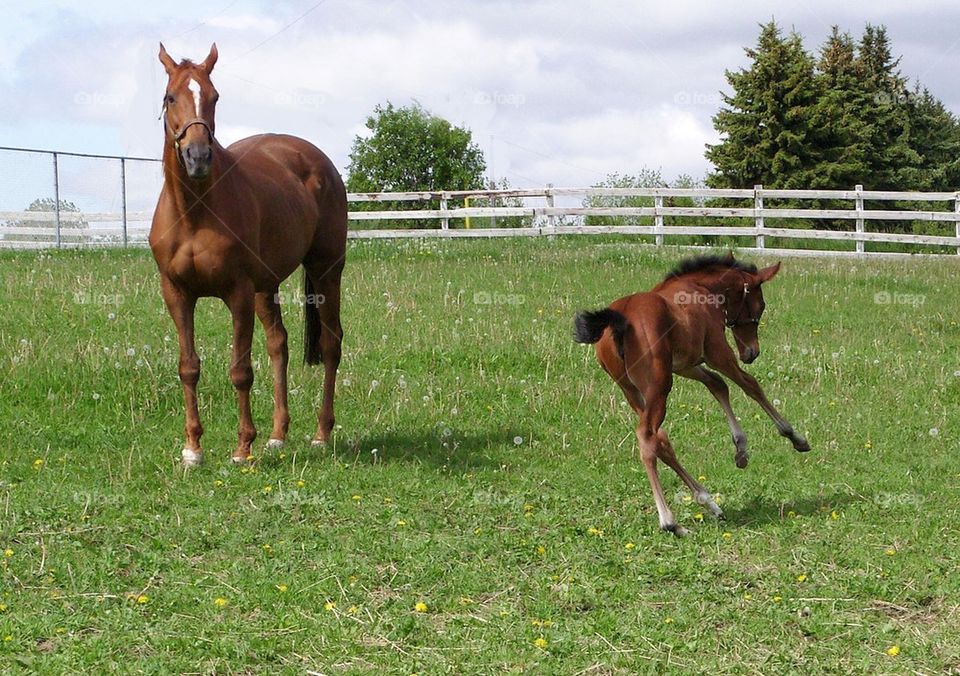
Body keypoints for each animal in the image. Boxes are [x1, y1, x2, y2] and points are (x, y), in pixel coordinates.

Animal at [149, 43, 347, 467]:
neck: (195, 210)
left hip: (326, 270)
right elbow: (188, 367)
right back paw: (277, 435)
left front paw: (242, 447)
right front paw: (193, 448)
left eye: (214, 97)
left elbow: (240, 370)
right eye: (171, 97)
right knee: (279, 344)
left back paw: (321, 433)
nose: (197, 156)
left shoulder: (237, 293)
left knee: (330, 343)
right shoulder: (176, 293)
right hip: (266, 286)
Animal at [573, 253, 810, 536]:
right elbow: (750, 385)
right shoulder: (718, 352)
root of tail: (619, 318)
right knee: (647, 438)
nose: (751, 352)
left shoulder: (687, 364)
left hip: (632, 390)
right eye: (761, 306)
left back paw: (709, 502)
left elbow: (718, 385)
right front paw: (794, 436)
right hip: (659, 386)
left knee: (660, 439)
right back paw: (670, 521)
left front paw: (741, 450)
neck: (701, 290)